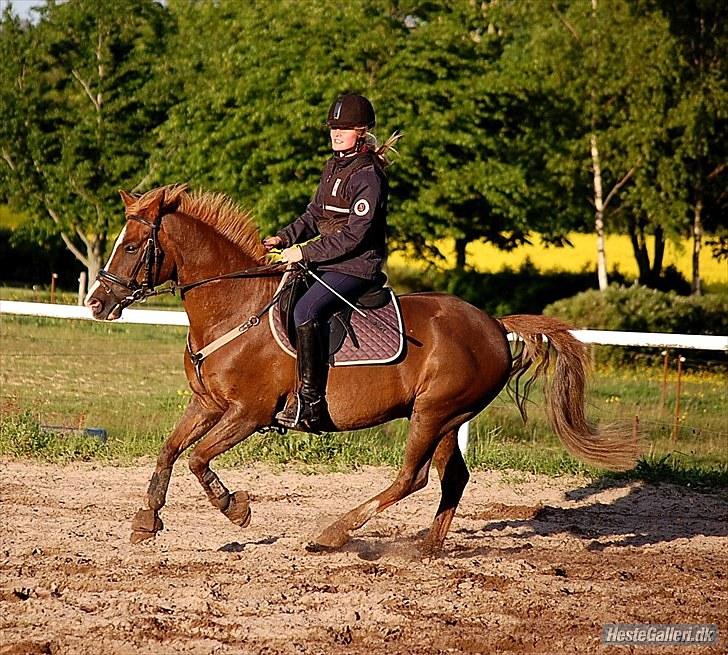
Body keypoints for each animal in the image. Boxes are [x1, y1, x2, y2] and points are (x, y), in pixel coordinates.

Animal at [85, 184, 640, 552]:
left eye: (131, 246)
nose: (97, 303)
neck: (235, 307)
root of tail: (493, 323)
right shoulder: (207, 403)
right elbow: (170, 450)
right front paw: (146, 520)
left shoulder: (248, 413)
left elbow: (198, 459)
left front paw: (235, 508)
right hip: (447, 419)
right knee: (452, 479)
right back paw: (424, 550)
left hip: (433, 414)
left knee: (413, 478)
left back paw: (334, 533)